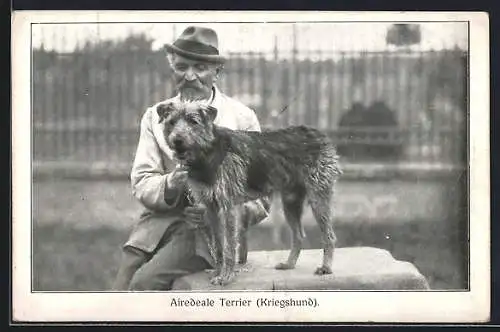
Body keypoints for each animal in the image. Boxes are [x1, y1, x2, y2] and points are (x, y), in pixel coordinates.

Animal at [158, 100, 342, 284]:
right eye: (171, 122)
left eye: (193, 121)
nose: (177, 140)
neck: (208, 152)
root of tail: (320, 134)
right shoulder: (210, 208)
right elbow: (218, 246)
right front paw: (218, 271)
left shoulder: (228, 208)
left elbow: (229, 246)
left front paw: (226, 276)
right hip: (290, 203)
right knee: (299, 235)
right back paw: (289, 264)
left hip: (318, 199)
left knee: (329, 236)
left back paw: (326, 267)